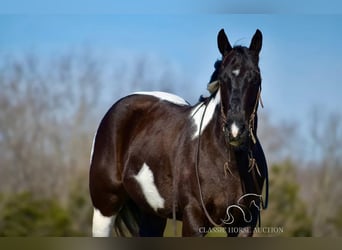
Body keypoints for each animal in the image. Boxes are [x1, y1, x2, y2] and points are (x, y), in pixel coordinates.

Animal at [88, 28, 268, 236]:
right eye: (223, 79)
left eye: (255, 77)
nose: (235, 130)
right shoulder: (194, 219)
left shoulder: (244, 225)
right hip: (105, 208)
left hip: (153, 214)